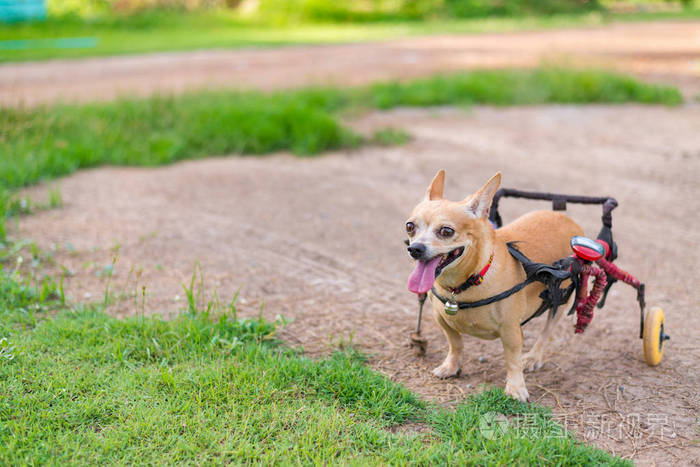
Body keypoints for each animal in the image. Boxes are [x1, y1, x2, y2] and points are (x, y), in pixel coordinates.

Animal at [408, 172, 584, 402]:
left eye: (446, 231)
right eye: (410, 226)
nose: (415, 248)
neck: (465, 283)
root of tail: (570, 221)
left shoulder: (510, 331)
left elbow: (512, 360)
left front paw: (516, 388)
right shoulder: (443, 320)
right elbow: (455, 344)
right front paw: (451, 366)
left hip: (559, 299)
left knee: (547, 331)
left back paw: (533, 357)